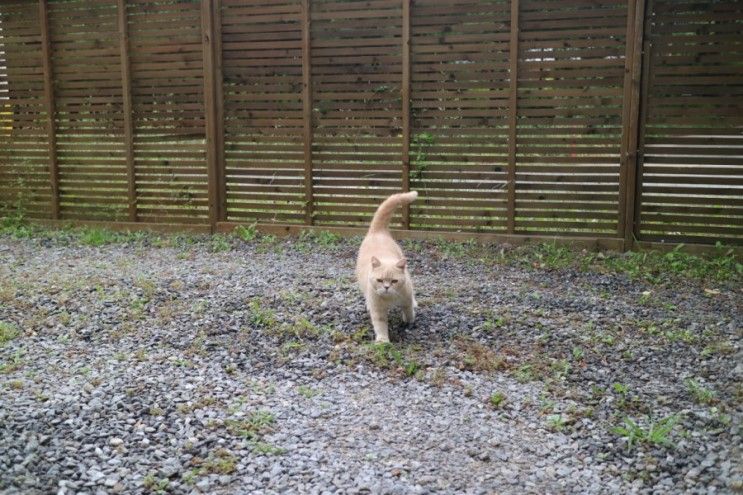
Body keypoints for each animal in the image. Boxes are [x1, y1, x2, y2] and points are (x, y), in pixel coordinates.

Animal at [358, 192, 422, 342]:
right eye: (380, 280)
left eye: (394, 281)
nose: (387, 287)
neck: (390, 300)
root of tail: (377, 231)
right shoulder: (378, 310)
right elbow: (380, 325)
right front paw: (383, 341)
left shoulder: (406, 298)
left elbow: (408, 310)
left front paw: (409, 320)